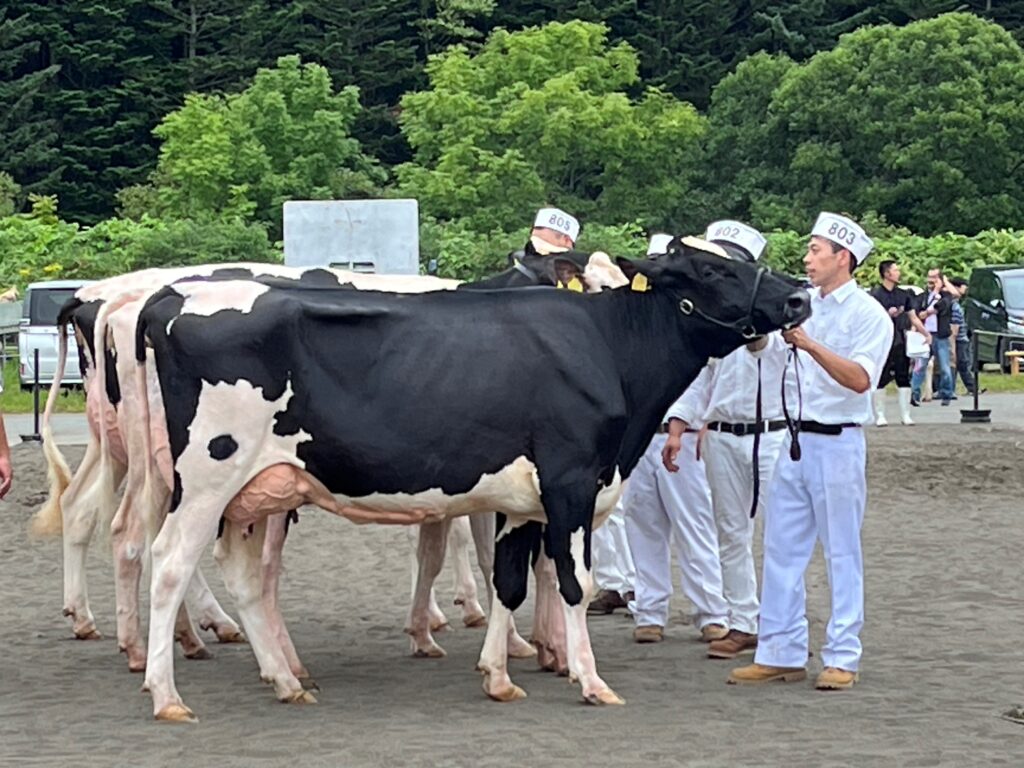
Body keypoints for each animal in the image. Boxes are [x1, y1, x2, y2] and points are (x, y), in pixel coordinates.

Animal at [134, 239, 806, 720]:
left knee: (245, 576)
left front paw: (499, 677)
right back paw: (167, 695)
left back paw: (284, 681)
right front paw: (591, 681)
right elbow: (574, 584)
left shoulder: (524, 501)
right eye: (711, 271)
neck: (607, 347)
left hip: (256, 490)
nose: (800, 298)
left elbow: (508, 581)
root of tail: (172, 297)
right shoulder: (571, 481)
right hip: (206, 478)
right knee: (168, 563)